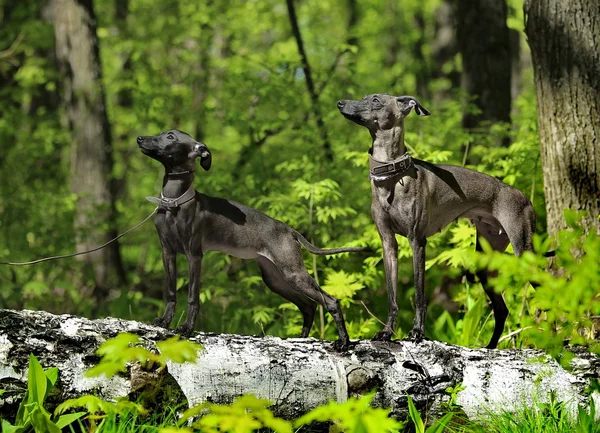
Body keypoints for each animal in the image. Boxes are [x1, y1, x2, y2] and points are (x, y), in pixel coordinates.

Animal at [136, 130, 364, 350]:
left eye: (170, 137)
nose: (139, 138)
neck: (174, 202)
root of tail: (290, 230)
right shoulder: (168, 252)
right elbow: (170, 292)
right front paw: (165, 321)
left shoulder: (194, 255)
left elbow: (193, 297)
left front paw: (186, 328)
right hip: (275, 279)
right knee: (308, 306)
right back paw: (302, 339)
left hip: (293, 273)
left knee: (331, 301)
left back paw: (344, 342)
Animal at [338, 93, 540, 348]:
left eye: (375, 100)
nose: (340, 103)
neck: (392, 176)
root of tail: (525, 197)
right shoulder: (388, 244)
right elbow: (392, 296)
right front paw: (386, 332)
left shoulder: (417, 241)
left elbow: (419, 294)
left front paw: (417, 332)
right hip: (486, 262)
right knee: (502, 309)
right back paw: (490, 347)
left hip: (524, 251)